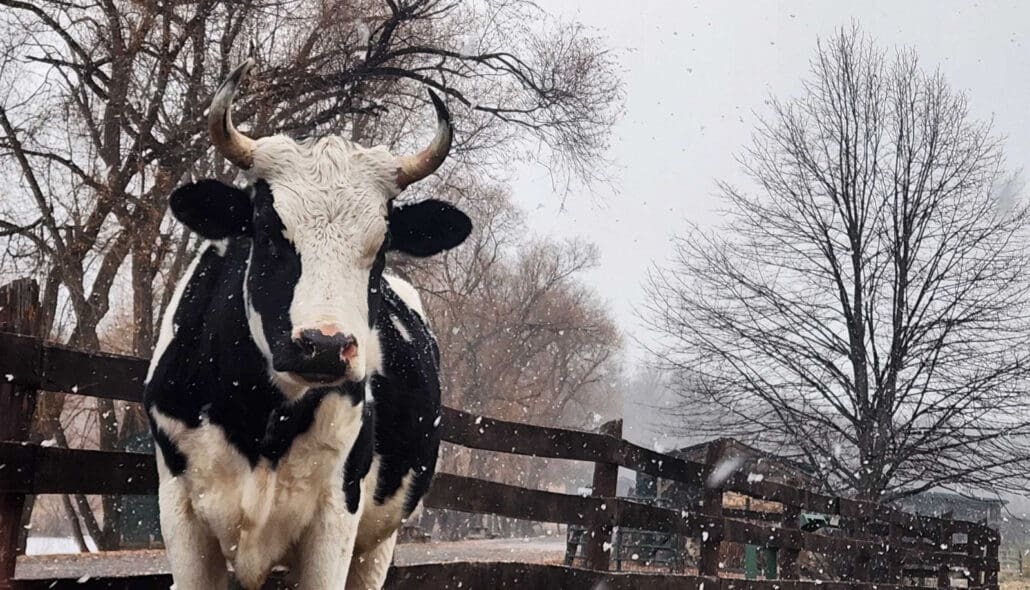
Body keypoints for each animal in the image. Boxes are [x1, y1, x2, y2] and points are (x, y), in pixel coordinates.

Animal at [142, 61, 471, 588]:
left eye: (382, 246)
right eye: (267, 230)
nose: (325, 345)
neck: (260, 421)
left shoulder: (337, 513)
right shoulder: (180, 511)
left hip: (378, 542)